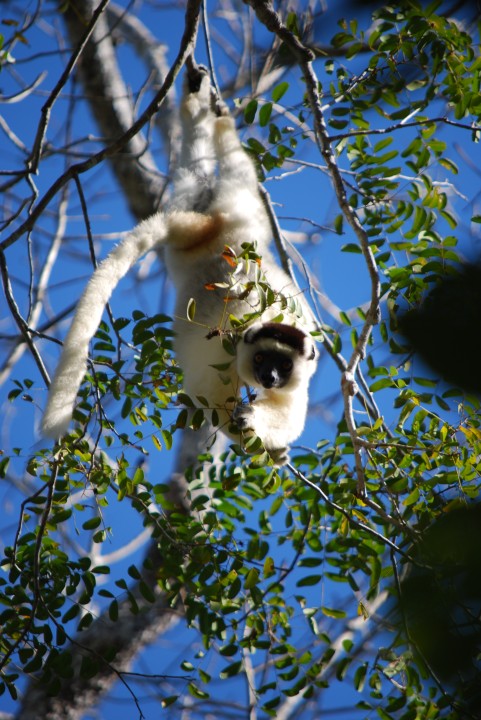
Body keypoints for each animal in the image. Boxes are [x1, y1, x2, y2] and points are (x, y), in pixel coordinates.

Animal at [41, 69, 318, 464]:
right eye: (263, 358)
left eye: (283, 366)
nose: (269, 378)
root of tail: (213, 226)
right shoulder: (222, 355)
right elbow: (217, 403)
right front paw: (261, 436)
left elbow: (288, 407)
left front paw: (266, 434)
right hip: (241, 208)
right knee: (238, 170)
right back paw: (219, 121)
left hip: (226, 213)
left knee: (196, 172)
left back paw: (195, 104)